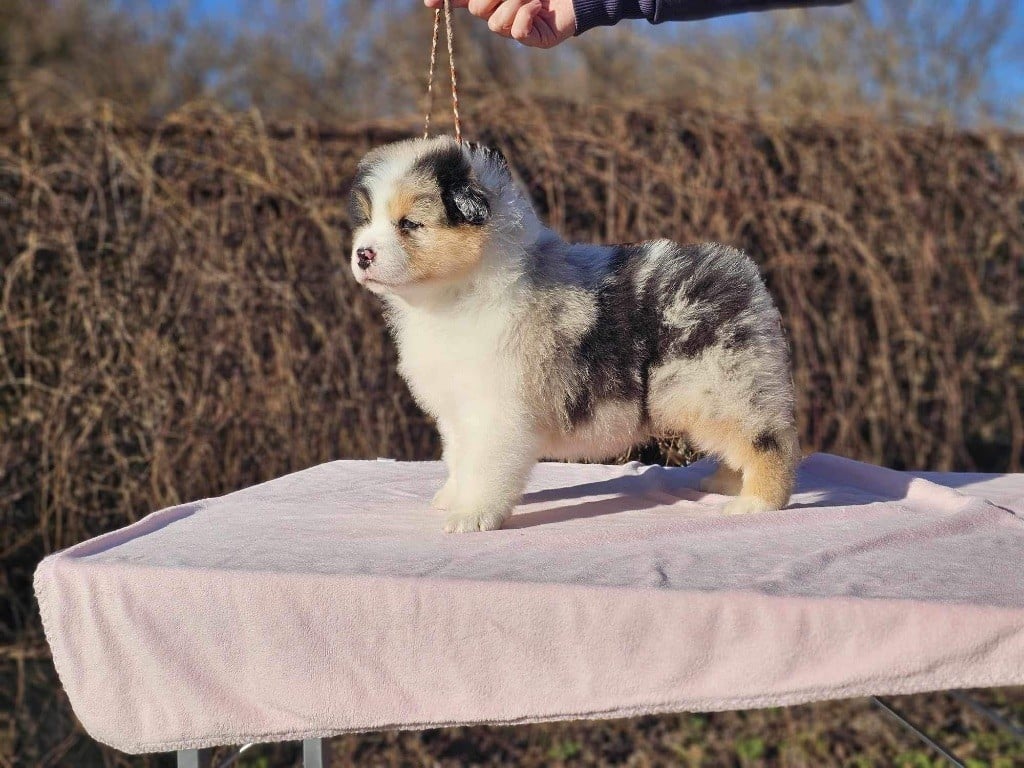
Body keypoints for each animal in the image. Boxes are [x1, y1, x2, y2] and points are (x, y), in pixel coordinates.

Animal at [348, 137, 799, 532]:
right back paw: (726, 482)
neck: (455, 293)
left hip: (719, 384)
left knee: (768, 441)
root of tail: (742, 272)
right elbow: (459, 458)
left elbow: (485, 466)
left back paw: (755, 502)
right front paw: (451, 497)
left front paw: (472, 515)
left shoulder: (499, 409)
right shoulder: (457, 409)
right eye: (367, 220)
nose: (362, 254)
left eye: (410, 224)